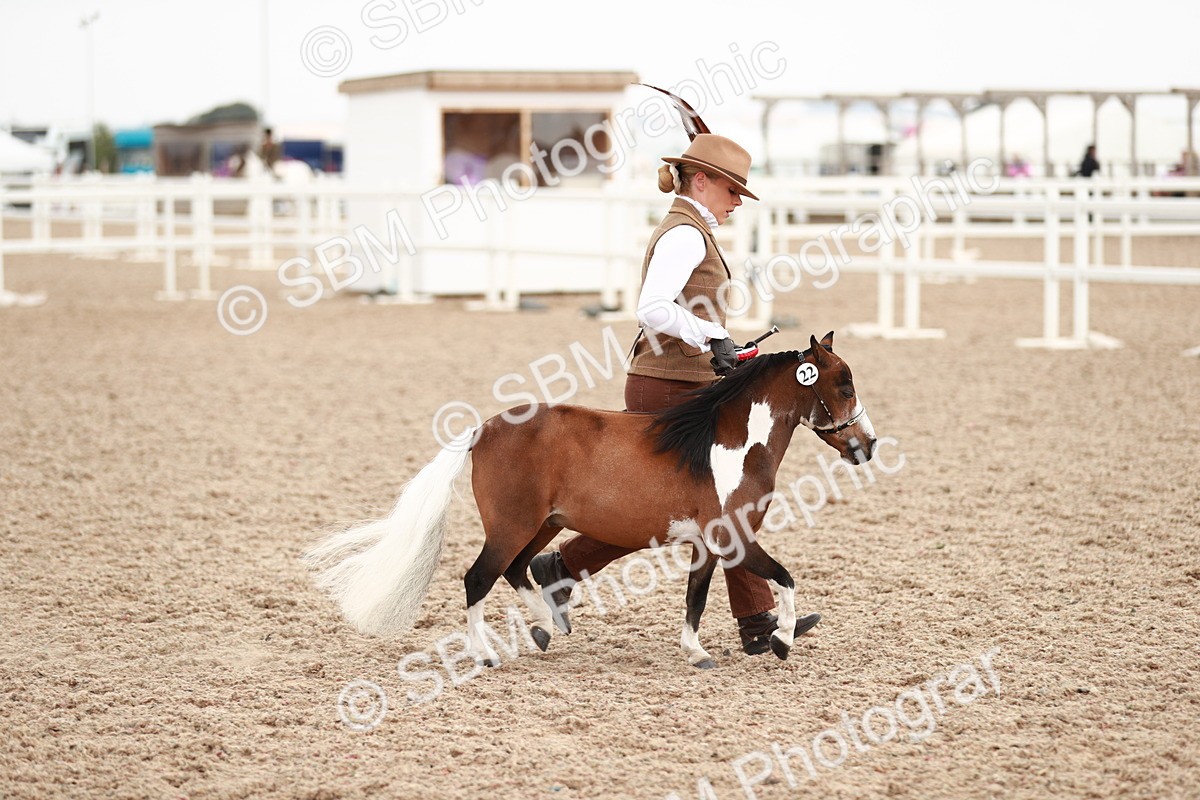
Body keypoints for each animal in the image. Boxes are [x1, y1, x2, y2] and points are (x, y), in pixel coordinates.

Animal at [304, 331, 879, 668]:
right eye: (844, 385)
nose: (868, 445)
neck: (730, 445)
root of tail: (483, 429)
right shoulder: (732, 535)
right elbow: (784, 579)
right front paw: (781, 639)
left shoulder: (708, 544)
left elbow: (695, 598)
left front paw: (696, 651)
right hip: (512, 525)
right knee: (478, 578)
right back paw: (486, 654)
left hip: (543, 524)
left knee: (519, 569)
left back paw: (546, 626)